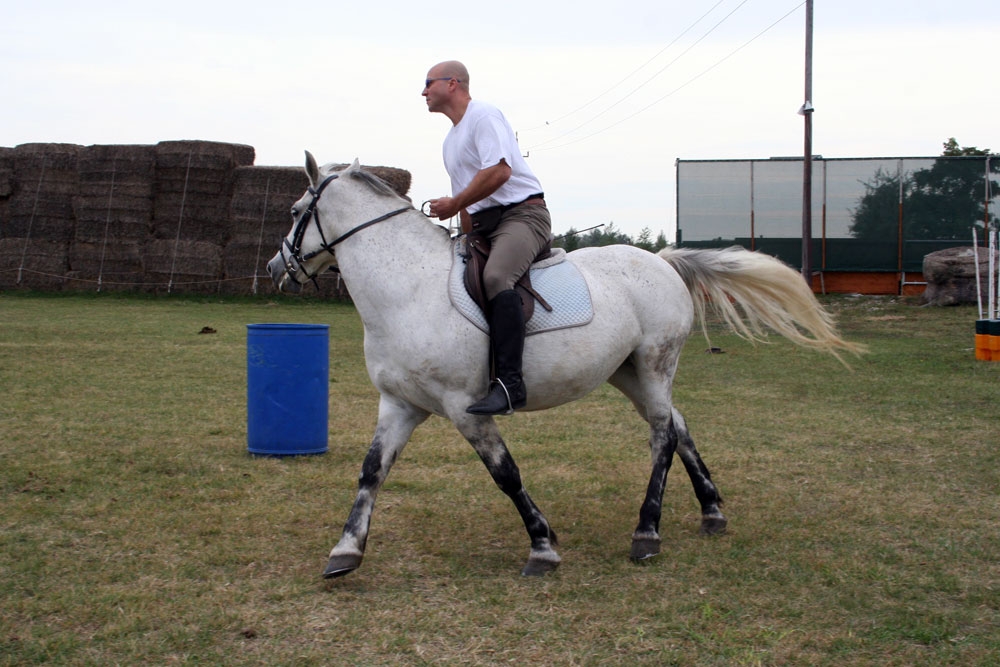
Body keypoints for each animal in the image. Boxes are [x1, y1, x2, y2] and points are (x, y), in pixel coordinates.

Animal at [270, 154, 864, 576]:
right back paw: (711, 512)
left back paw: (647, 533)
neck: (408, 290)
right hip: (630, 373)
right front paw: (346, 551)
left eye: (297, 211)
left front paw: (542, 546)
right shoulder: (399, 404)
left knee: (663, 436)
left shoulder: (466, 409)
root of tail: (662, 261)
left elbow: (505, 474)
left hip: (654, 365)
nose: (278, 267)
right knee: (679, 427)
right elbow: (371, 472)